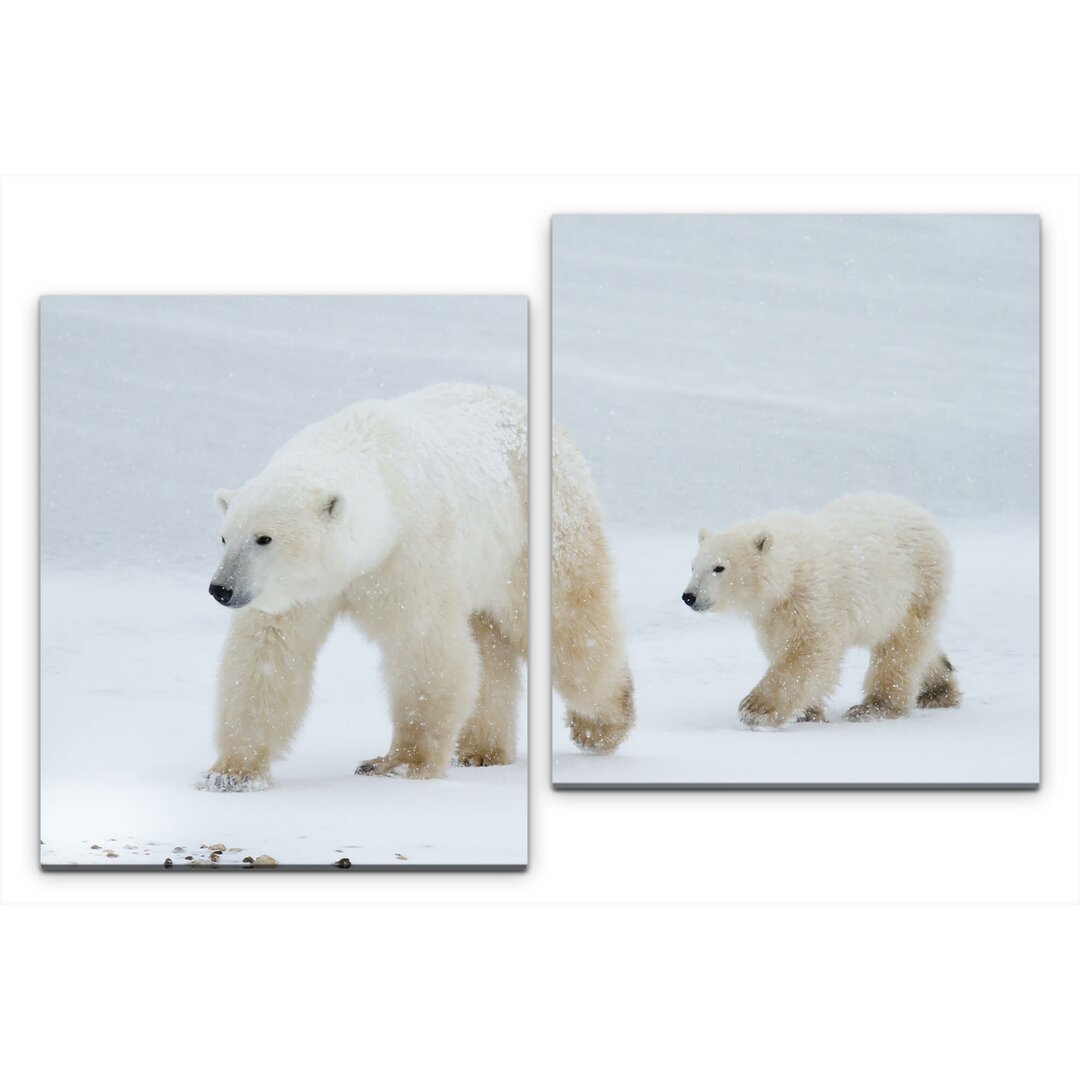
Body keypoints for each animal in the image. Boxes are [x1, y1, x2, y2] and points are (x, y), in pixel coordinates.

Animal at [682, 494, 963, 730]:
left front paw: (755, 710)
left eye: (719, 567)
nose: (689, 596)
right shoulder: (773, 614)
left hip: (916, 585)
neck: (790, 571)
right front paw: (809, 712)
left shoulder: (814, 597)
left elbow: (806, 653)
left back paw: (873, 707)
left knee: (900, 645)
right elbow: (784, 649)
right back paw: (938, 688)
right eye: (693, 566)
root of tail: (922, 513)